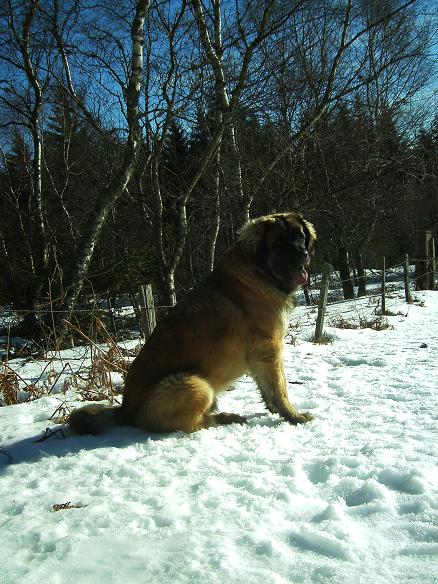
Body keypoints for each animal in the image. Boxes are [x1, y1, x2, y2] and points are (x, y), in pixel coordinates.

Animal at [67, 213, 314, 434]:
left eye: (300, 237)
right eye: (278, 243)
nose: (302, 254)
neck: (260, 271)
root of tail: (124, 410)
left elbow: (269, 389)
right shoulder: (269, 349)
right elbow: (280, 387)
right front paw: (294, 416)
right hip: (194, 384)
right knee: (193, 423)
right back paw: (226, 418)